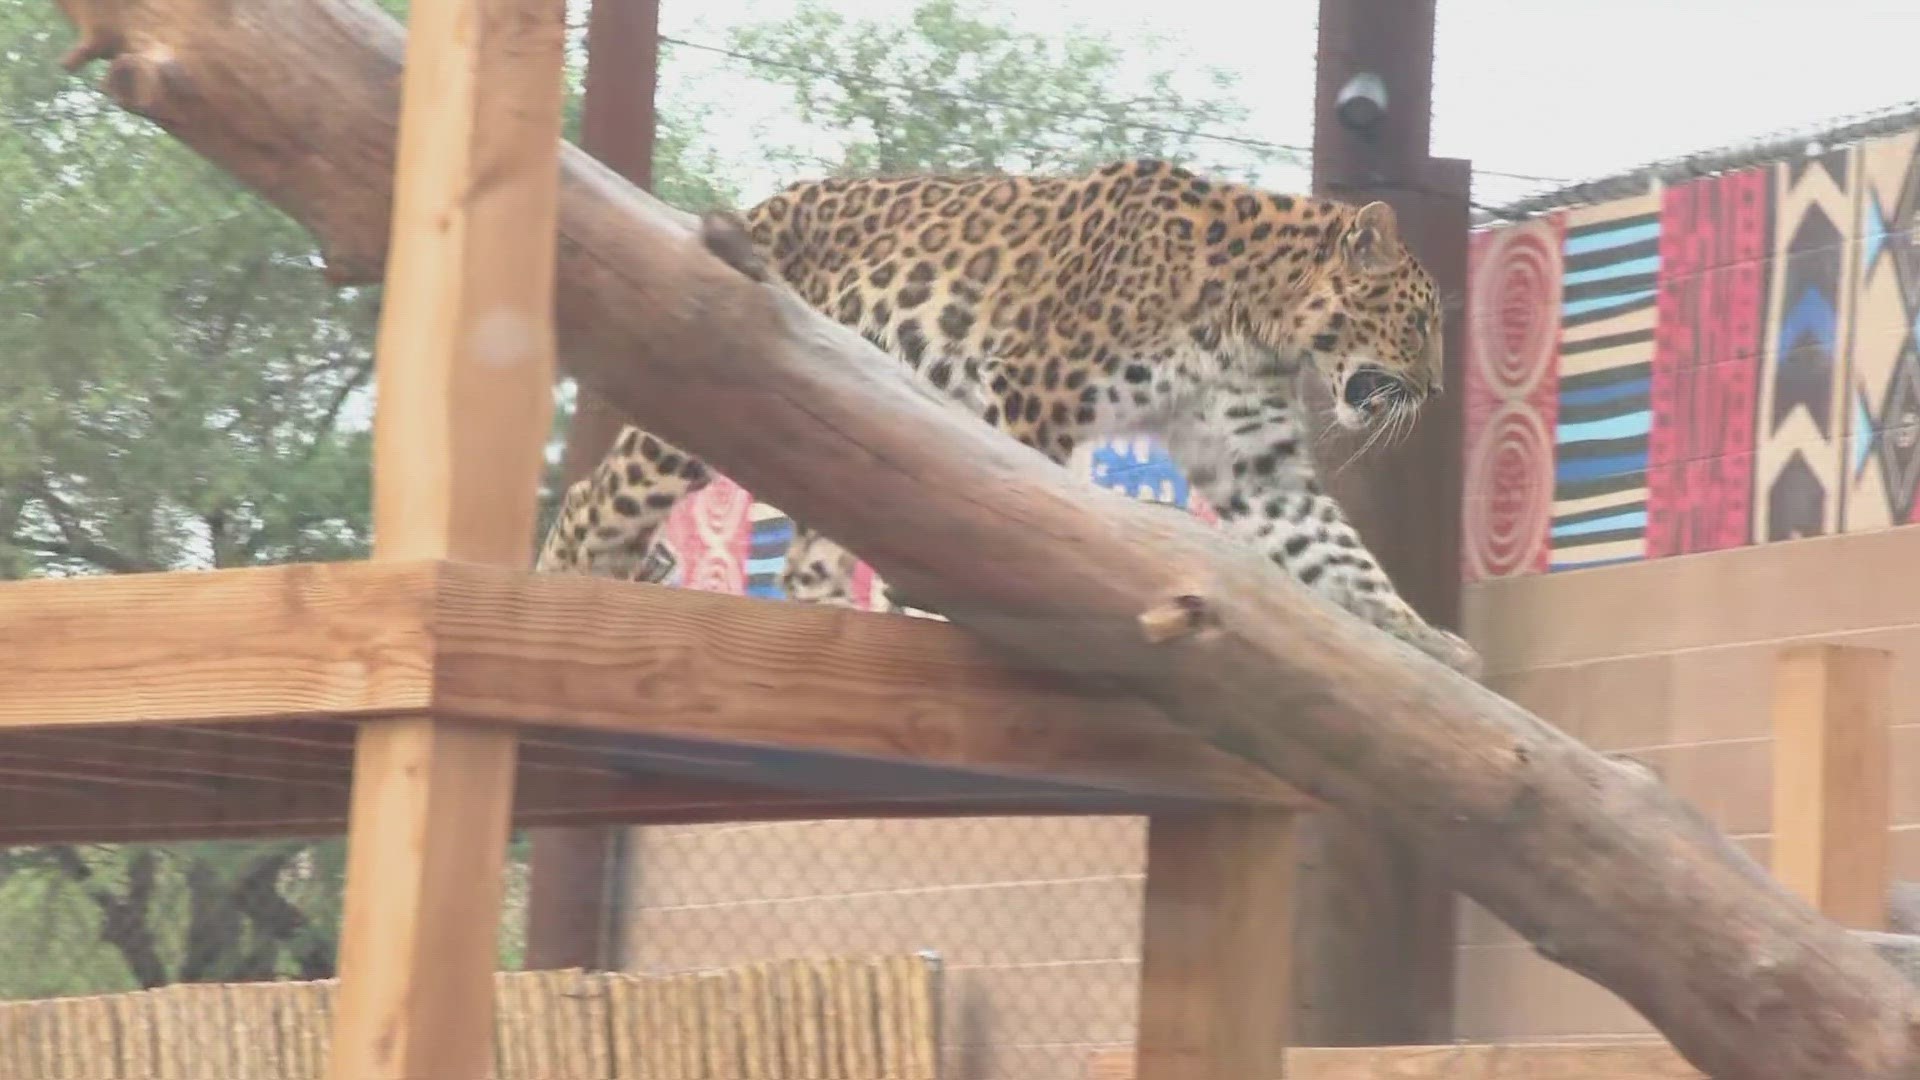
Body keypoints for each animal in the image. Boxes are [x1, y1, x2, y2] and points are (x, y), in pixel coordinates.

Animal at [537, 155, 1482, 672]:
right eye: (1420, 323)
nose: (1438, 390)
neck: (1261, 318)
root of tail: (764, 203)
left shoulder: (1254, 459)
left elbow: (1339, 553)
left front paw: (1430, 642)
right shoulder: (1040, 383)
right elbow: (1029, 514)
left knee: (805, 556)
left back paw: (841, 618)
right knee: (597, 496)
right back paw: (562, 589)